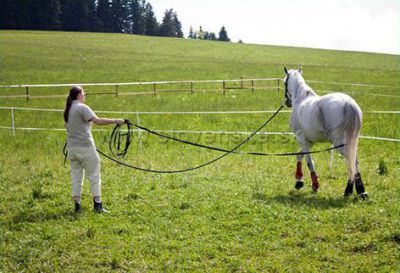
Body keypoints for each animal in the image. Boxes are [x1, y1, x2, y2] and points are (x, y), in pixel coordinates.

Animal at [282, 66, 368, 198]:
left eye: (285, 83)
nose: (287, 102)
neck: (301, 99)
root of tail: (348, 103)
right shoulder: (310, 142)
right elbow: (299, 155)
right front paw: (299, 181)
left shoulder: (302, 139)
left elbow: (309, 162)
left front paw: (314, 185)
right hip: (352, 141)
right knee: (354, 161)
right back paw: (360, 191)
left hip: (340, 143)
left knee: (350, 161)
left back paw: (349, 190)